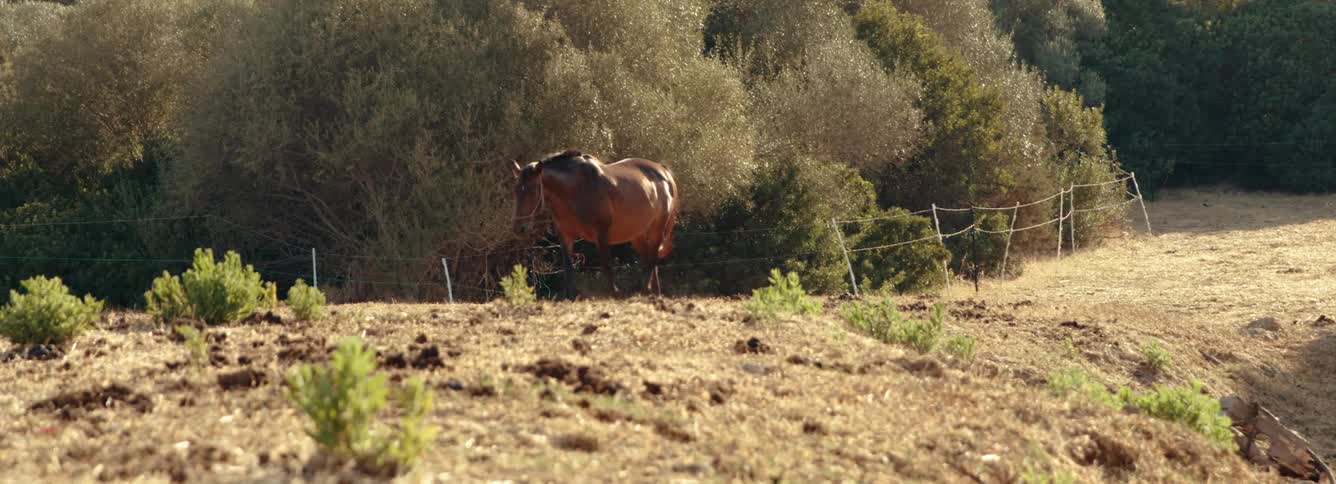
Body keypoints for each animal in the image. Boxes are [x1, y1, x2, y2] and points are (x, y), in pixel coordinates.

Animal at [511, 149, 678, 298]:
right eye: (516, 191)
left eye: (533, 191)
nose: (519, 228)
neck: (577, 190)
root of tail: (663, 172)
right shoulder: (565, 235)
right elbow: (568, 268)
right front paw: (569, 297)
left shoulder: (602, 234)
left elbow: (607, 266)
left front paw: (615, 294)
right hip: (637, 234)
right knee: (649, 259)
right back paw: (654, 293)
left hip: (657, 229)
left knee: (652, 259)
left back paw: (645, 290)